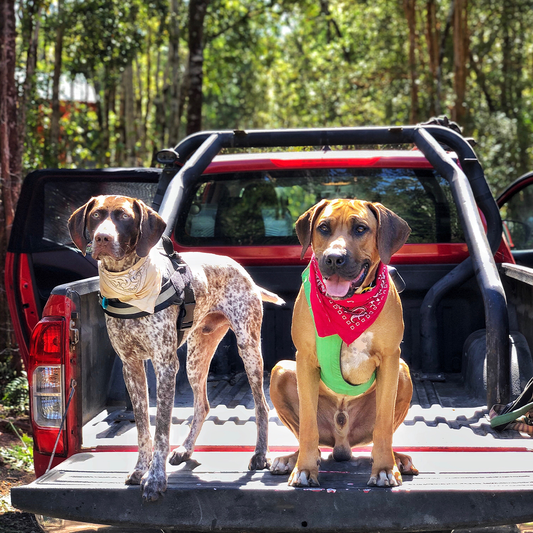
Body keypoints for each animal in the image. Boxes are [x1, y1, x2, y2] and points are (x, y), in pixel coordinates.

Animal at [69, 194, 282, 498]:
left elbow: (160, 430)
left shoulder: (166, 366)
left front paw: (156, 479)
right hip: (195, 358)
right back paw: (185, 449)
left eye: (124, 217)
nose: (102, 238)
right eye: (96, 215)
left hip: (248, 349)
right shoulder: (131, 367)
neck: (128, 285)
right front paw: (140, 469)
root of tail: (242, 270)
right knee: (203, 405)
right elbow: (143, 428)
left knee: (261, 406)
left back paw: (260, 455)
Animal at [270, 198, 416, 486]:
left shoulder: (391, 359)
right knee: (310, 439)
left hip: (402, 372)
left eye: (360, 228)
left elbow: (384, 425)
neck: (350, 307)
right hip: (280, 370)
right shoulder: (305, 359)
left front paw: (385, 468)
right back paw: (291, 459)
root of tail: (342, 443)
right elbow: (308, 427)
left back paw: (398, 459)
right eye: (323, 228)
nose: (334, 258)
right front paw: (304, 469)